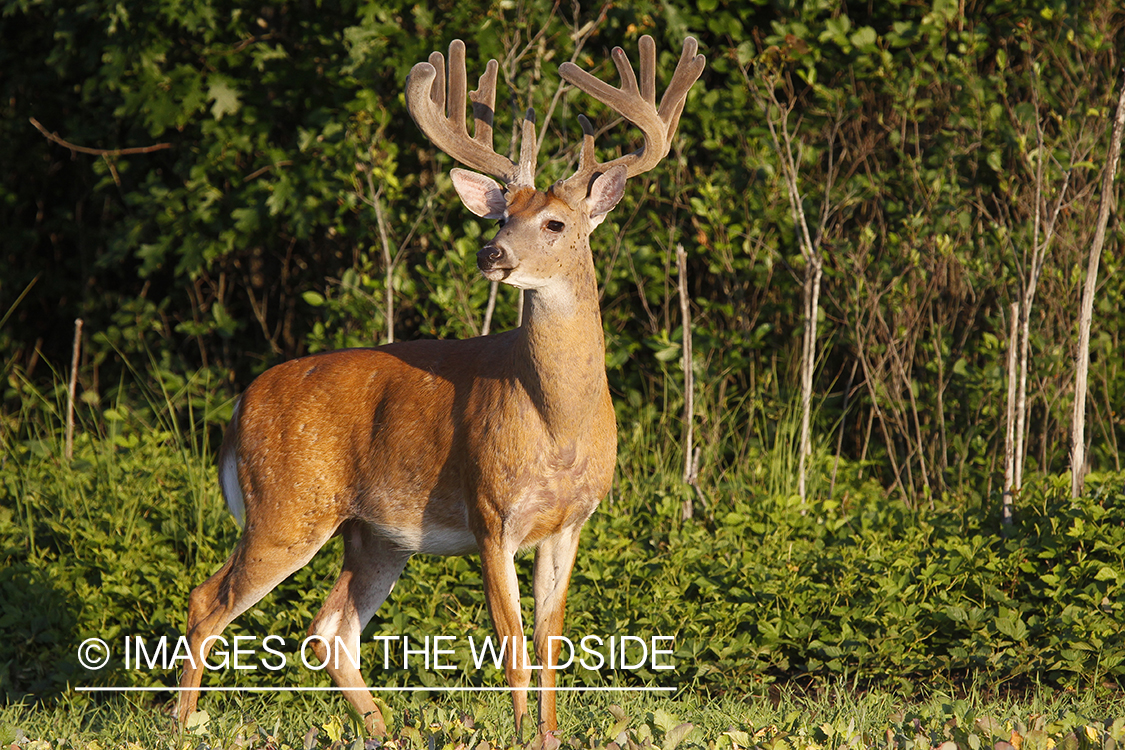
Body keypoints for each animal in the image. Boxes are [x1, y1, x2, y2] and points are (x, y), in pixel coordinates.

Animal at [176, 34, 704, 738]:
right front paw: (521, 737)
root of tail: (240, 406)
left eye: (556, 224)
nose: (492, 253)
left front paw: (548, 734)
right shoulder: (489, 510)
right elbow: (511, 641)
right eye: (503, 215)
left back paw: (381, 730)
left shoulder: (570, 522)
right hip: (286, 506)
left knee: (329, 627)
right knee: (208, 600)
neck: (558, 423)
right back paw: (182, 725)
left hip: (373, 532)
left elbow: (550, 638)